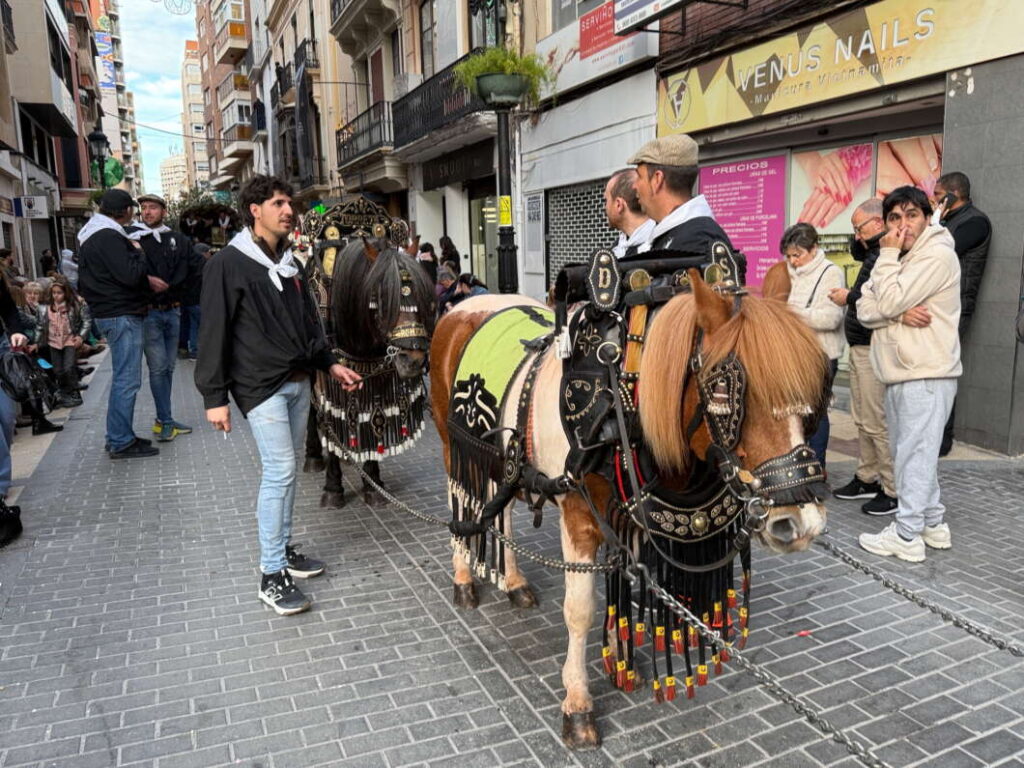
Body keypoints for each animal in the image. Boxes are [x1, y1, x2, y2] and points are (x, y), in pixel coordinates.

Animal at [428, 268, 827, 745]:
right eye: (723, 394)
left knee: (500, 509)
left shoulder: (629, 516)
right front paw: (578, 700)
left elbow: (624, 581)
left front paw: (620, 657)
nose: (800, 521)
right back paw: (464, 577)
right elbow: (579, 610)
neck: (622, 401)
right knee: (459, 498)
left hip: (501, 459)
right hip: (450, 441)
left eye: (812, 394)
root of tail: (466, 306)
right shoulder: (579, 516)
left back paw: (513, 581)